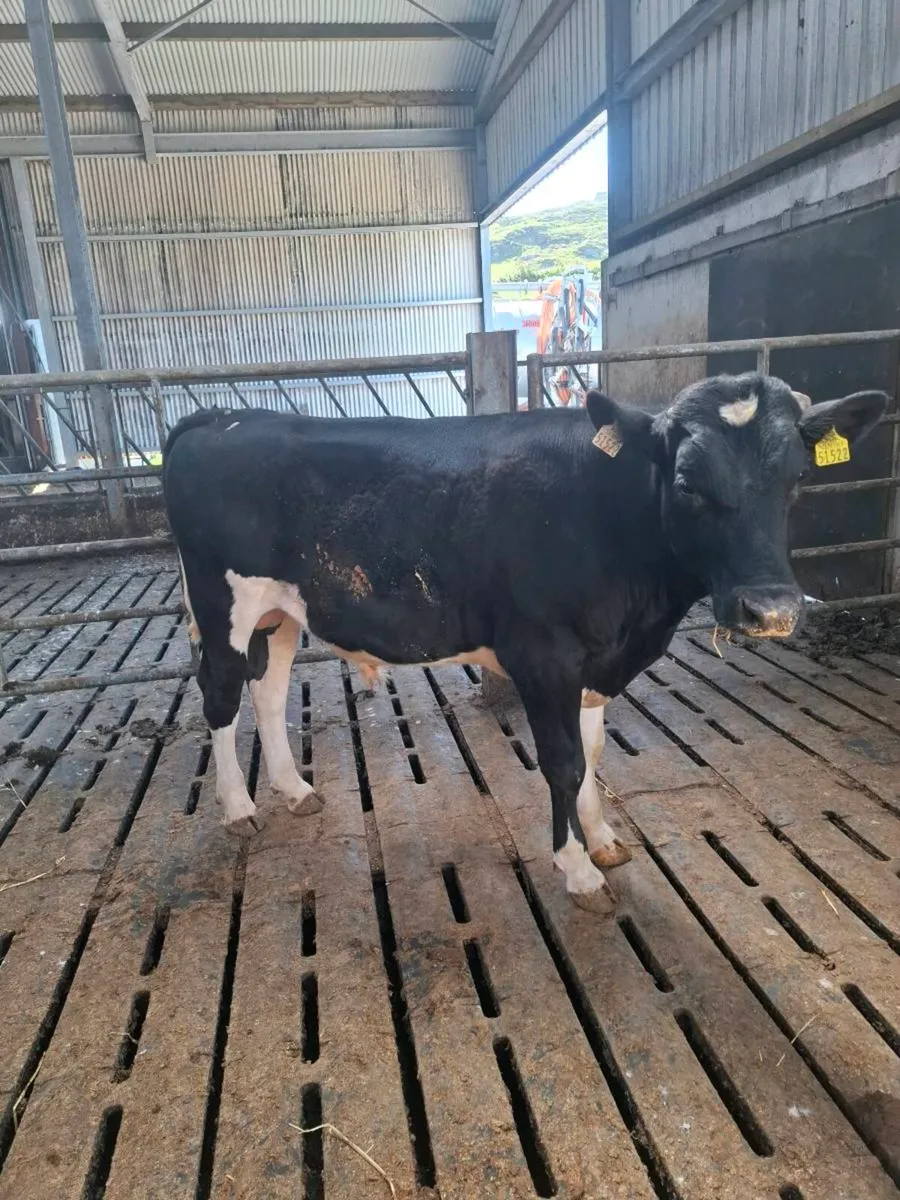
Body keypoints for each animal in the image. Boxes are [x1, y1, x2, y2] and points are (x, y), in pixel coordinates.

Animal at [162, 374, 887, 913]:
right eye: (687, 483)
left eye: (797, 480)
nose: (772, 610)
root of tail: (222, 416)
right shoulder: (545, 657)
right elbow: (563, 763)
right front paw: (577, 868)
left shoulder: (595, 660)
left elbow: (593, 756)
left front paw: (602, 839)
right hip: (223, 603)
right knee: (222, 696)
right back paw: (238, 807)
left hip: (281, 612)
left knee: (268, 688)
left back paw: (293, 788)